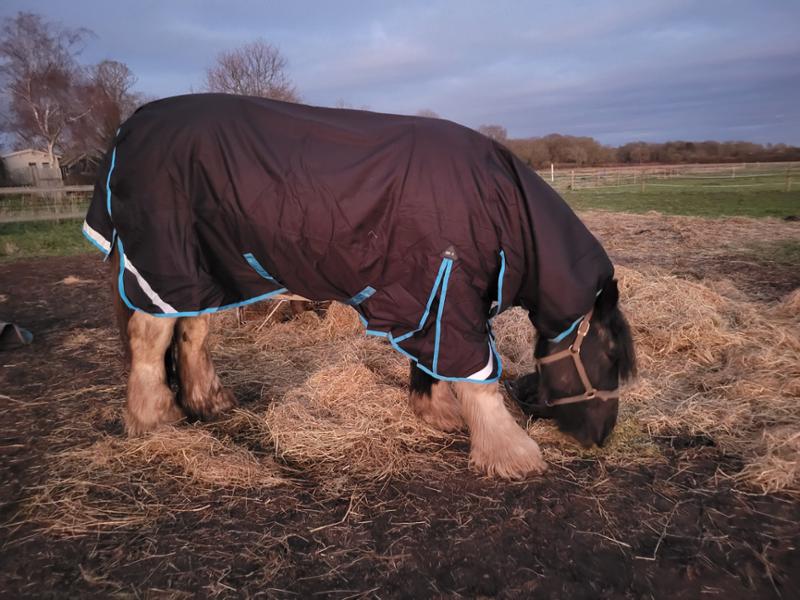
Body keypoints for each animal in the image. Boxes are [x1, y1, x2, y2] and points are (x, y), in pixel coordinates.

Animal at [84, 94, 636, 479]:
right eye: (610, 356)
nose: (603, 437)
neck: (501, 205)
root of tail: (130, 127)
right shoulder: (452, 294)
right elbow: (476, 375)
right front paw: (511, 452)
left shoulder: (432, 294)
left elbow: (430, 364)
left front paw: (437, 413)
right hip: (164, 264)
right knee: (150, 338)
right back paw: (154, 417)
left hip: (205, 271)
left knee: (192, 334)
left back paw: (208, 403)